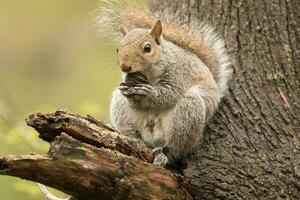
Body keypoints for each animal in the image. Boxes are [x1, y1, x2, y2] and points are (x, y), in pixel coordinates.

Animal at [96, 1, 232, 166]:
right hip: (121, 109)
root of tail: (153, 135)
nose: (125, 67)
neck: (148, 73)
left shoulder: (179, 74)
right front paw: (128, 91)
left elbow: (169, 94)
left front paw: (149, 92)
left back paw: (164, 154)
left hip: (187, 114)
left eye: (147, 48)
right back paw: (134, 140)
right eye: (117, 49)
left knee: (176, 147)